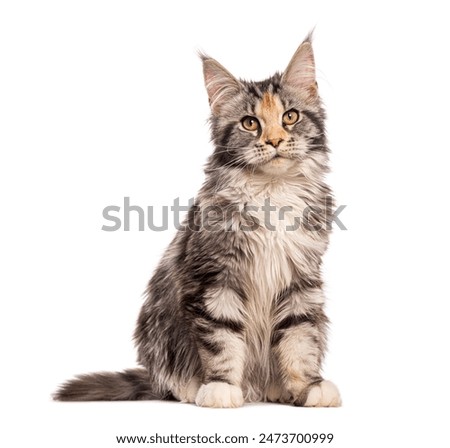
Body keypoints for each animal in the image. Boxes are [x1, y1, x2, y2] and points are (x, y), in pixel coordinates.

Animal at [52, 33, 342, 408]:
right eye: (250, 123)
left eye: (290, 116)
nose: (275, 140)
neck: (271, 191)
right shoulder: (214, 279)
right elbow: (222, 341)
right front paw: (221, 386)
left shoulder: (300, 279)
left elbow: (300, 339)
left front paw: (308, 386)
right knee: (173, 380)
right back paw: (194, 388)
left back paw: (276, 390)